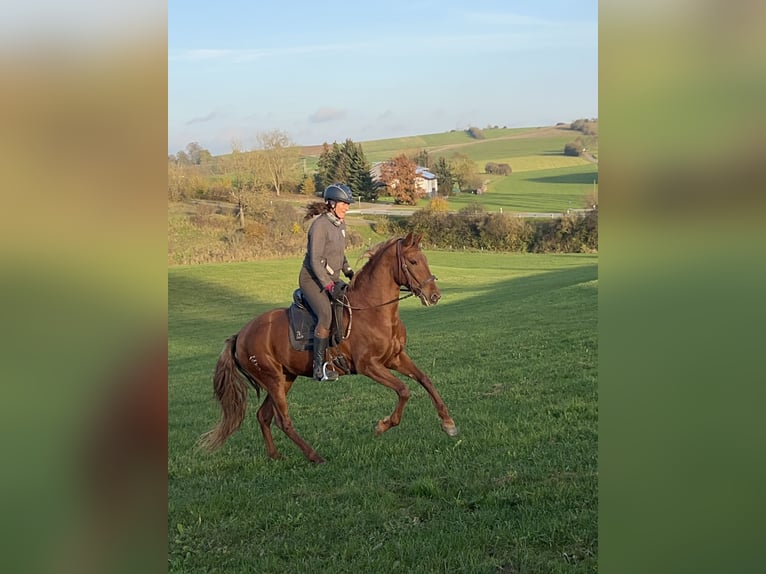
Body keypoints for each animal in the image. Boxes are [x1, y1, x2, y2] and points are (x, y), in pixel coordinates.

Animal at [201, 231, 460, 464]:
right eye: (413, 262)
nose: (434, 296)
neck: (373, 310)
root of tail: (240, 336)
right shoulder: (369, 366)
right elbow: (404, 390)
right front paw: (382, 425)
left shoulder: (395, 358)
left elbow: (425, 379)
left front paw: (448, 423)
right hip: (273, 380)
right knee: (282, 421)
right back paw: (314, 456)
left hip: (285, 379)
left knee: (263, 416)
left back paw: (276, 456)